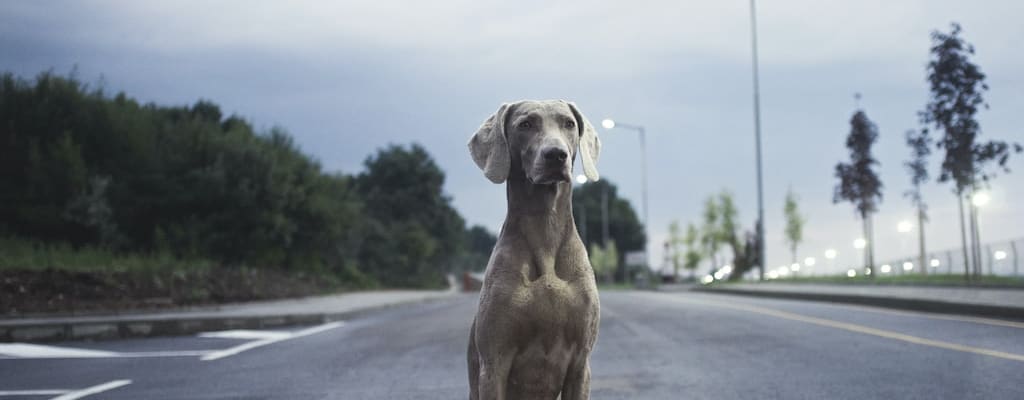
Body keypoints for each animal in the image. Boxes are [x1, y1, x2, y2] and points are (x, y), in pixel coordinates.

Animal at [468, 100, 602, 400]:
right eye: (525, 124)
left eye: (569, 123)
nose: (556, 155)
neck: (545, 229)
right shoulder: (493, 363)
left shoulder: (581, 363)